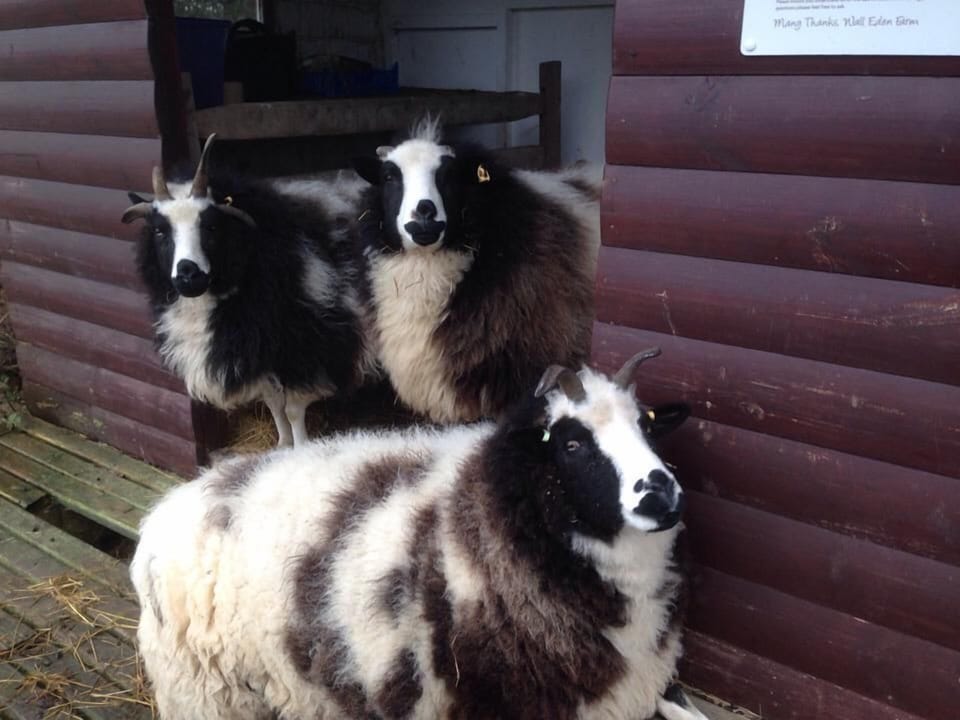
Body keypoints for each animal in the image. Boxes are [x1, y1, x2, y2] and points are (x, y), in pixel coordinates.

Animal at [121, 135, 372, 447]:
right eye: (159, 231)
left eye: (212, 226)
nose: (188, 274)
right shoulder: (261, 354)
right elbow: (274, 404)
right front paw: (281, 446)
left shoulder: (305, 351)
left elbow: (292, 409)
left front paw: (300, 449)